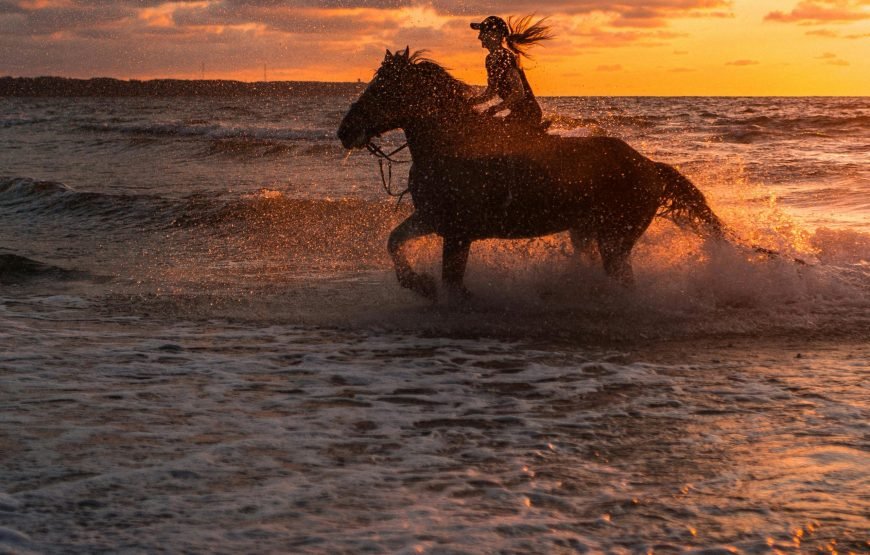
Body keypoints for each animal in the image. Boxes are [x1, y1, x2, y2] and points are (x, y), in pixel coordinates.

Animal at [340, 49, 728, 302]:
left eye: (382, 88)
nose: (345, 131)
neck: (451, 143)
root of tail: (649, 165)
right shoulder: (433, 219)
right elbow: (394, 241)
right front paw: (419, 284)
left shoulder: (458, 232)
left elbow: (451, 281)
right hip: (586, 232)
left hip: (615, 240)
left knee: (622, 280)